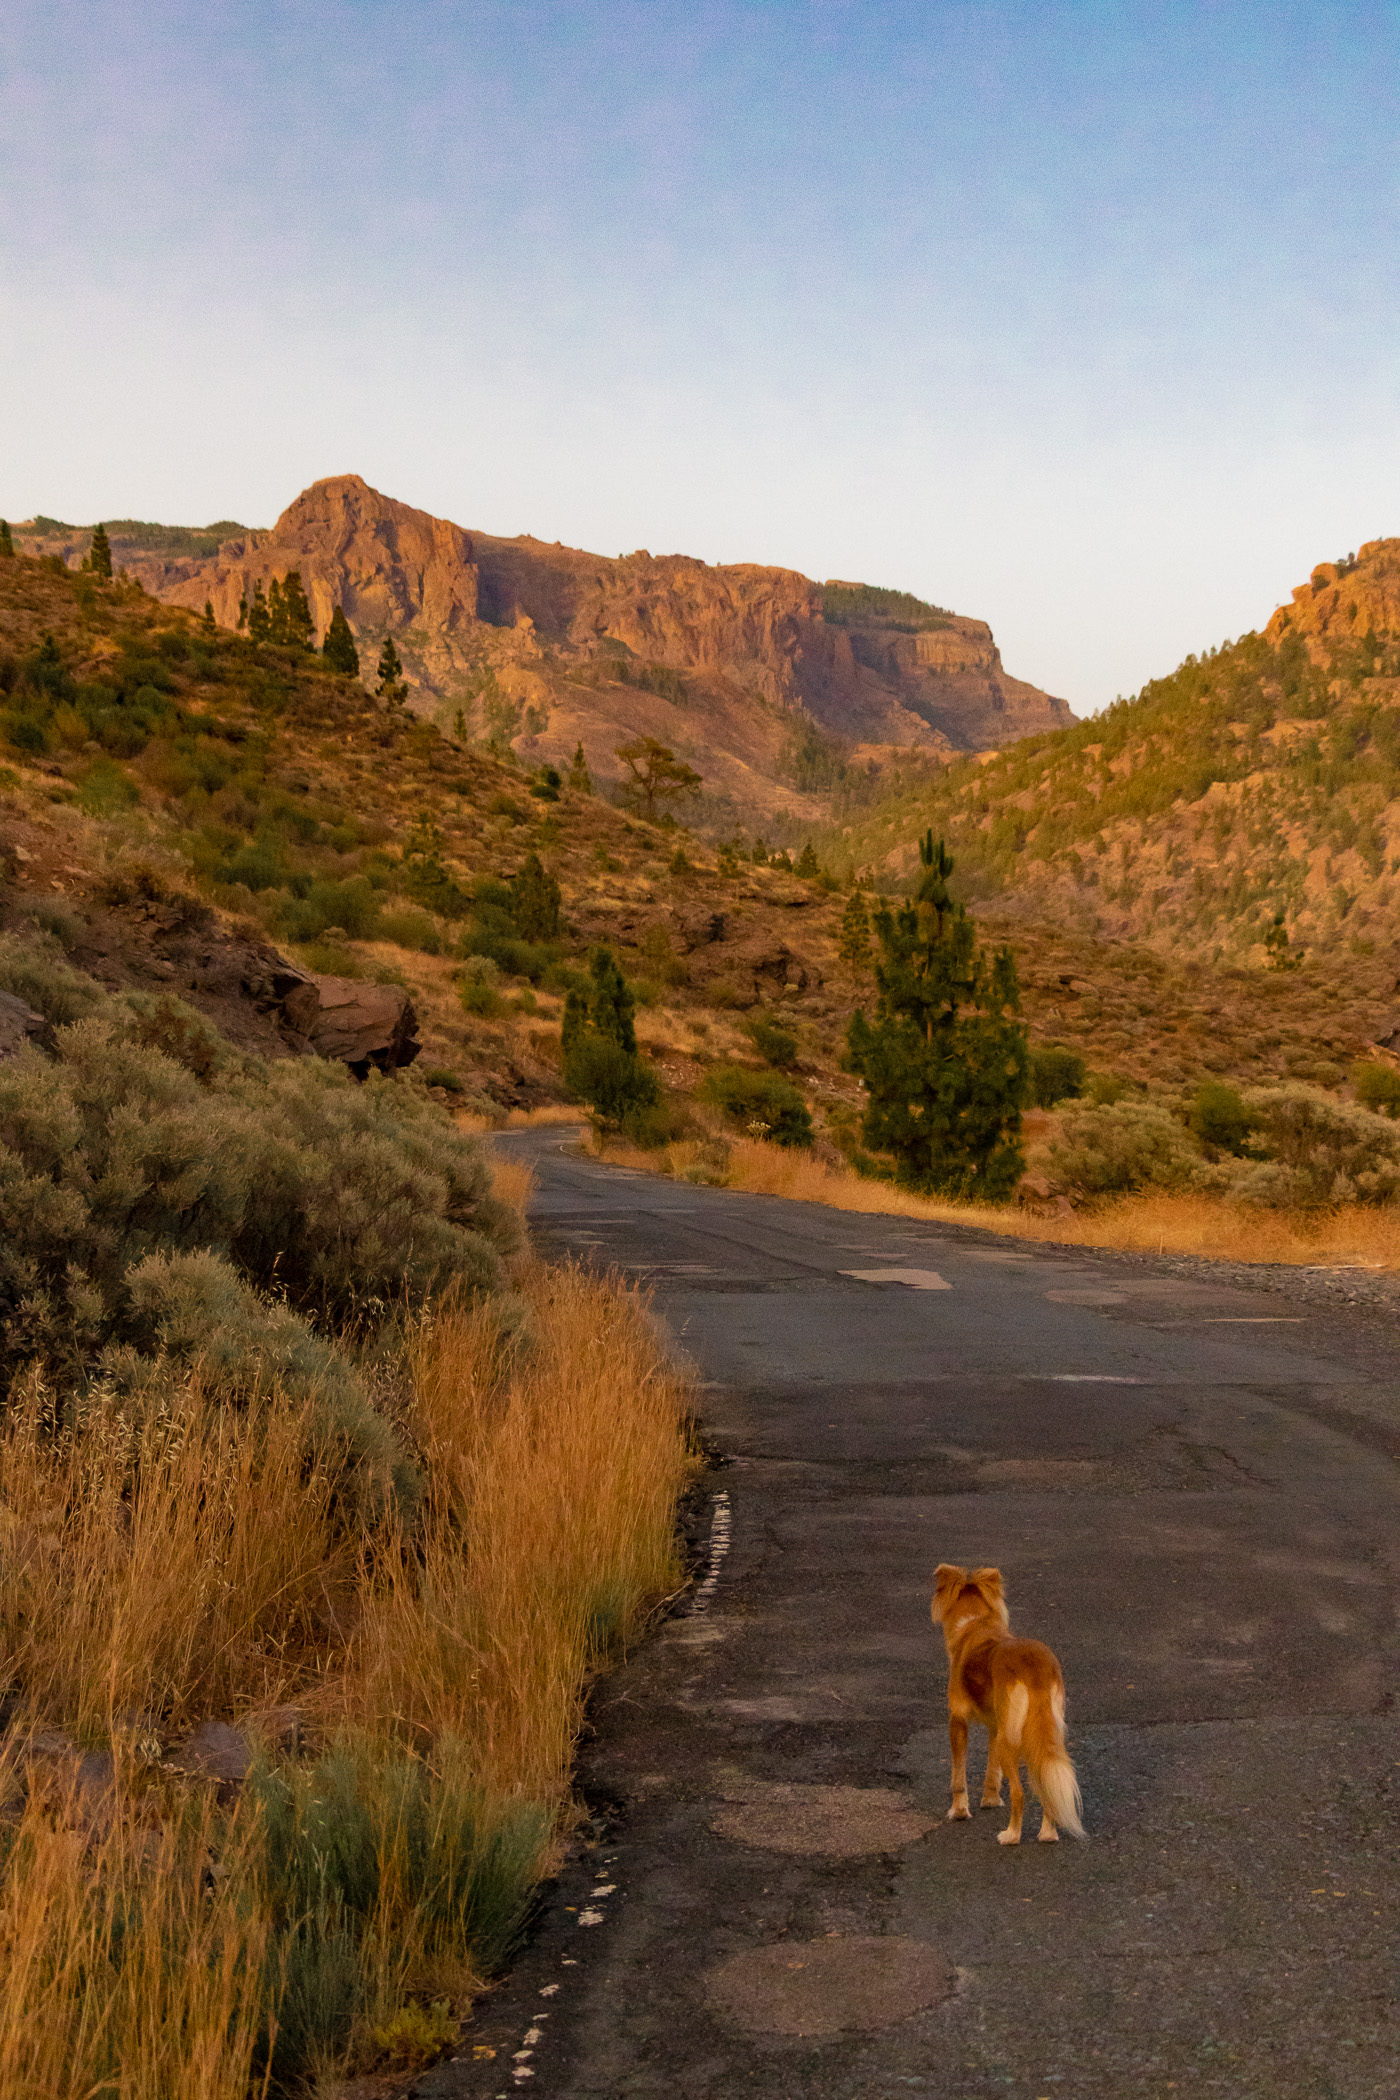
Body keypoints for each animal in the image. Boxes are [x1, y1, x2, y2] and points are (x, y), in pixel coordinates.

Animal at [936, 1562, 1091, 1839]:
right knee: (1045, 1782)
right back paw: (1047, 1834)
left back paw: (1011, 1836)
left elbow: (958, 1775)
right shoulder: (995, 1726)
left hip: (1010, 1739)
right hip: (1043, 1732)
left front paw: (959, 1811)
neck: (974, 1623)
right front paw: (990, 1799)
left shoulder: (958, 1720)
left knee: (1019, 1792)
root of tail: (1034, 1665)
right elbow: (992, 1770)